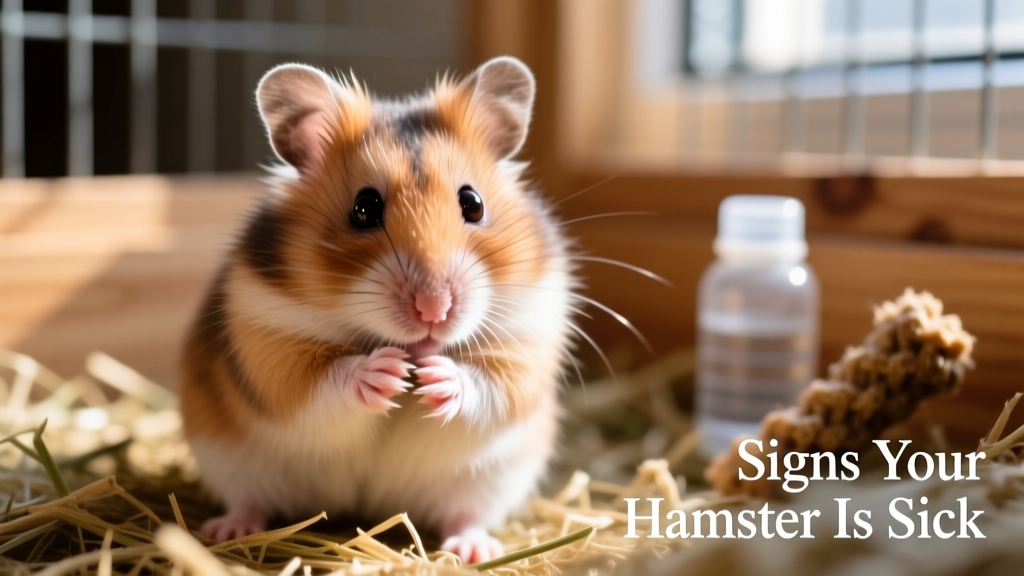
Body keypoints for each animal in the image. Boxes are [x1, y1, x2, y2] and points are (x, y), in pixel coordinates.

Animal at [179, 56, 576, 564]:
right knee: (250, 500)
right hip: (230, 458)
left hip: (491, 480)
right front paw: (387, 372)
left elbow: (492, 386)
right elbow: (318, 384)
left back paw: (474, 549)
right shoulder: (266, 341)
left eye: (473, 203)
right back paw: (226, 531)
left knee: (466, 513)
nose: (434, 309)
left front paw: (435, 378)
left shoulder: (527, 340)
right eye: (364, 208)